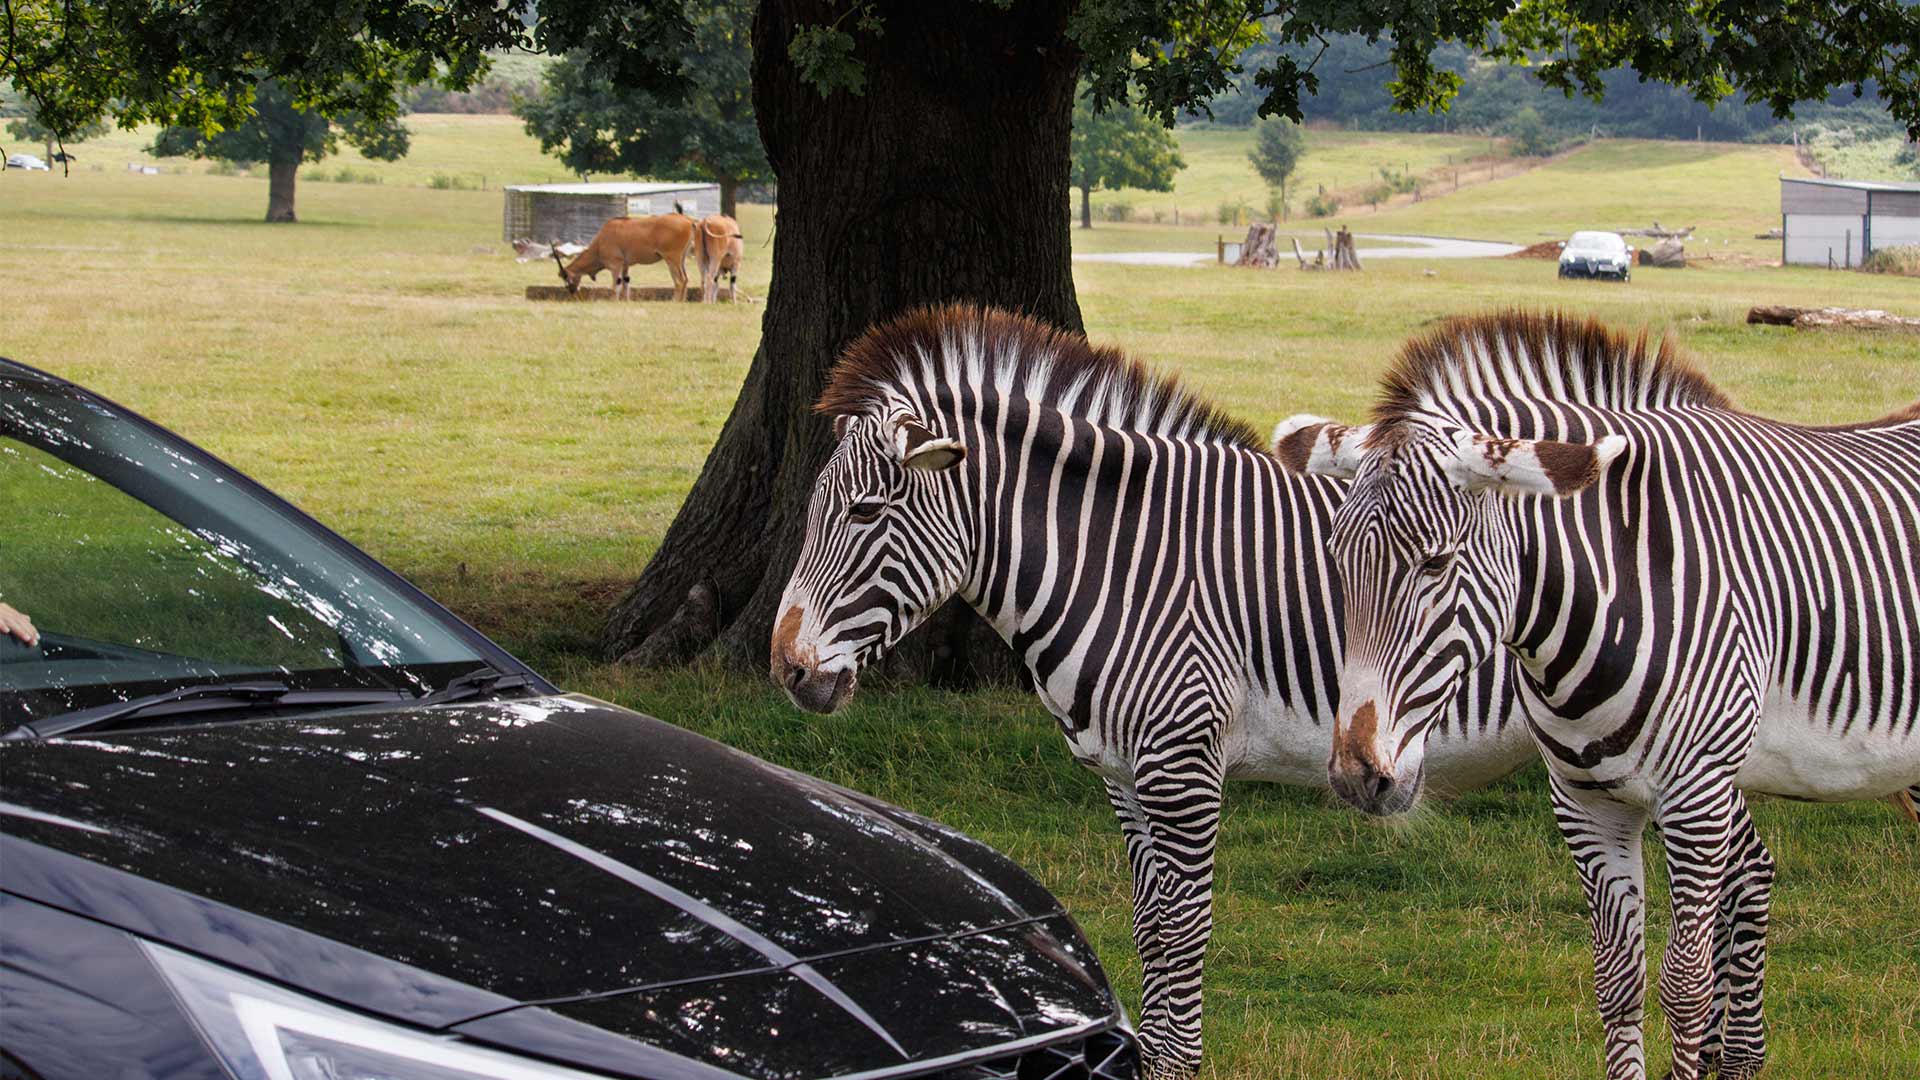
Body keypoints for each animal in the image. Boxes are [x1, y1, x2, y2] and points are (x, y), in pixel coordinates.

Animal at [552, 213, 695, 299]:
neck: (600, 241)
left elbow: (615, 286)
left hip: (671, 259)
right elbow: (626, 284)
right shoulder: (625, 266)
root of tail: (688, 220)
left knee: (679, 280)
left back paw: (674, 301)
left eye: (566, 278)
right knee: (686, 279)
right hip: (680, 259)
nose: (572, 291)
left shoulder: (615, 265)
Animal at [764, 299, 1543, 1076]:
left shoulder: (1182, 765)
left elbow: (1184, 926)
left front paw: (1176, 1063)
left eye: (865, 511)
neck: (1128, 566)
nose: (786, 668)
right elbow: (1151, 926)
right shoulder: (1124, 773)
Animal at [1274, 309, 1920, 1076]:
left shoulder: (1698, 798)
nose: (1357, 777)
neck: (1626, 580)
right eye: (1338, 562)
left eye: (1436, 563)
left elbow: (1685, 985)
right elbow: (1617, 980)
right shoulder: (1586, 803)